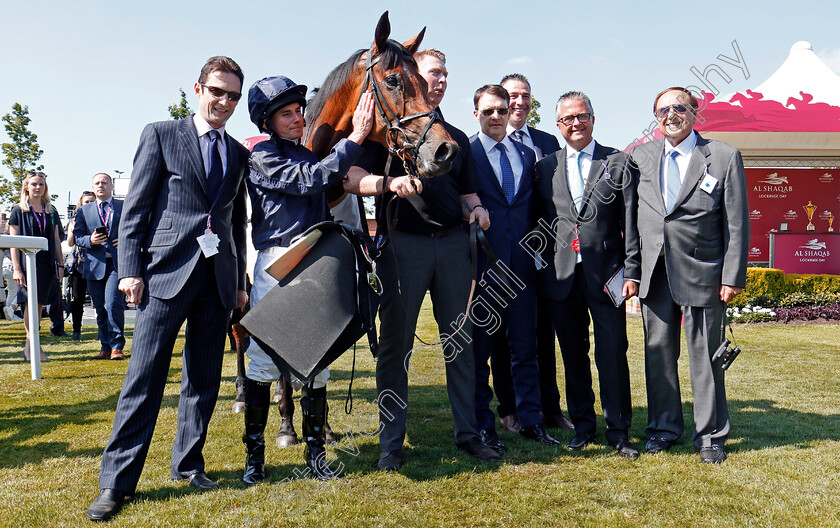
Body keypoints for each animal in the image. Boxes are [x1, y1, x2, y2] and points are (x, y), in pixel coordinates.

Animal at [230, 11, 456, 450]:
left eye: (425, 82)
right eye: (393, 80)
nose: (444, 151)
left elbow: (317, 367)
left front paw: (322, 427)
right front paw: (287, 426)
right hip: (241, 285)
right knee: (240, 334)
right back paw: (244, 396)